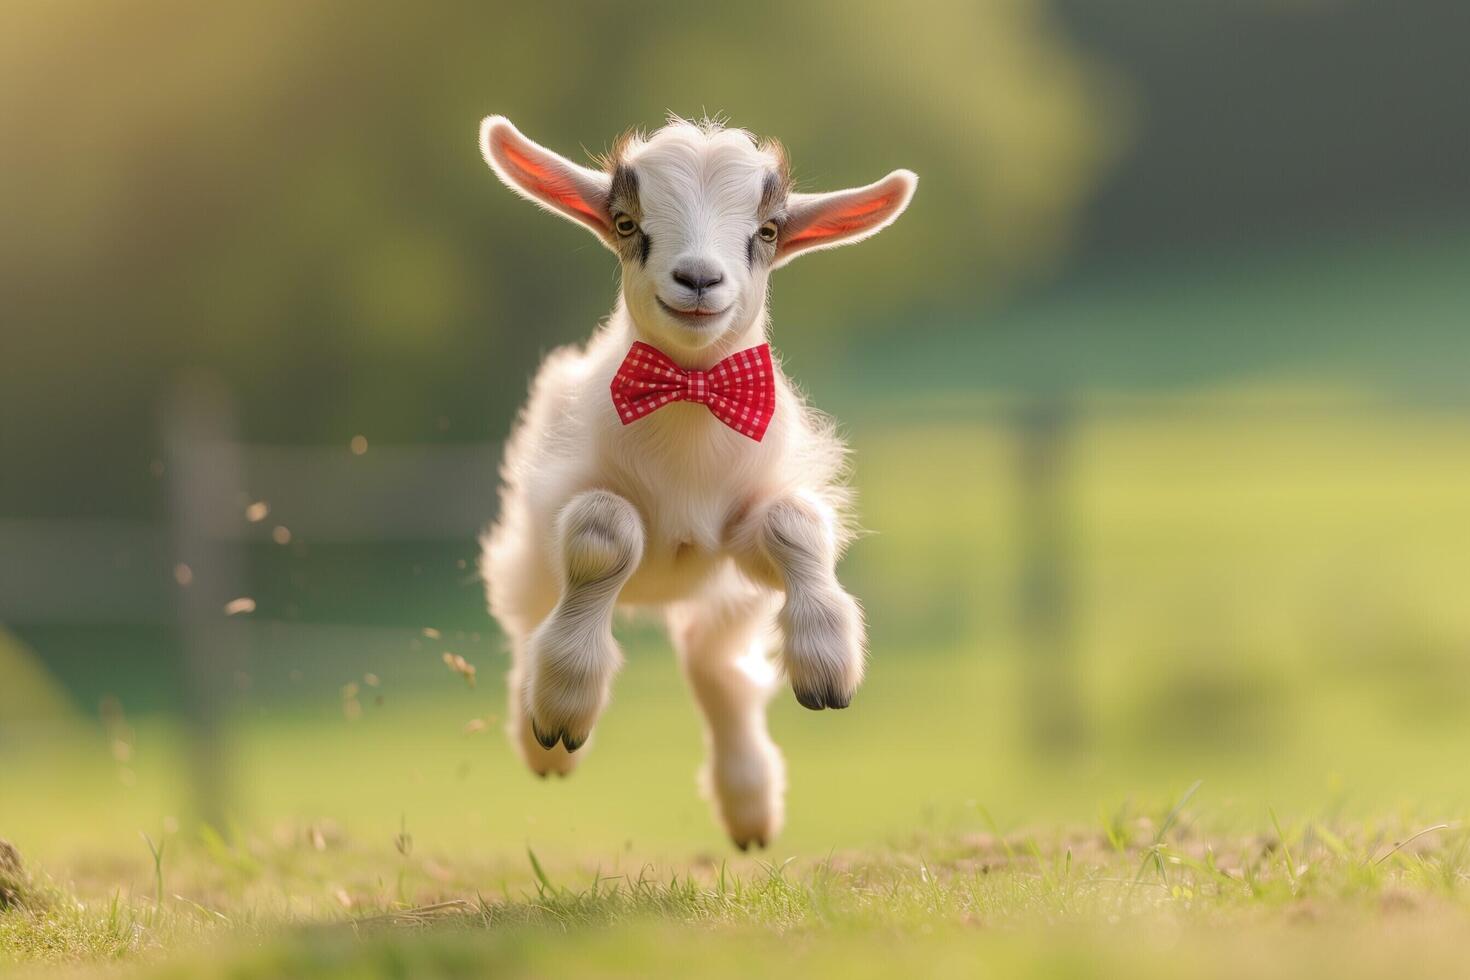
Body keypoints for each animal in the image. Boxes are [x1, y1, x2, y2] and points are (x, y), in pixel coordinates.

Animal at [482, 116, 911, 852]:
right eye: (627, 222)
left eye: (766, 230)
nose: (699, 278)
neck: (690, 395)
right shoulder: (562, 498)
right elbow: (603, 530)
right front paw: (565, 705)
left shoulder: (738, 535)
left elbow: (793, 523)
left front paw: (826, 661)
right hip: (529, 549)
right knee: (528, 618)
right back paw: (542, 743)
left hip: (723, 597)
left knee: (716, 670)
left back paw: (751, 810)